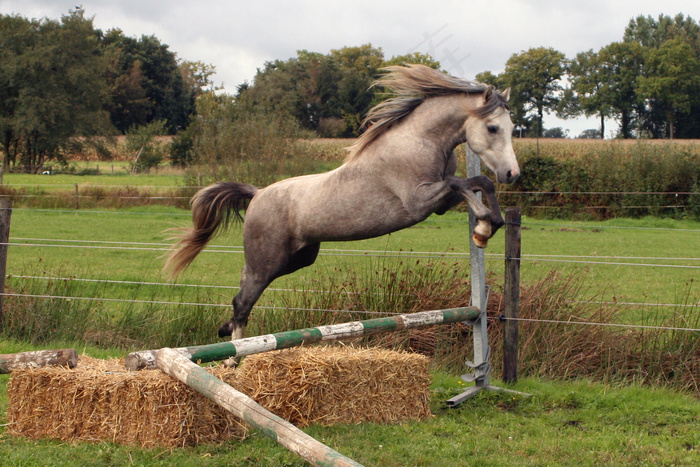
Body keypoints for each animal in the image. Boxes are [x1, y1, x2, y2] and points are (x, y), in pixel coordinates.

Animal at [167, 64, 520, 344]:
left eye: (512, 128)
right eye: (492, 127)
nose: (512, 174)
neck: (419, 141)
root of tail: (258, 193)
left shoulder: (440, 202)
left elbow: (479, 183)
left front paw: (489, 225)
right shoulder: (420, 200)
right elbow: (462, 184)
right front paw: (483, 228)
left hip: (296, 259)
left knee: (242, 286)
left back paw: (225, 330)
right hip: (269, 261)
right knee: (243, 300)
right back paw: (233, 356)